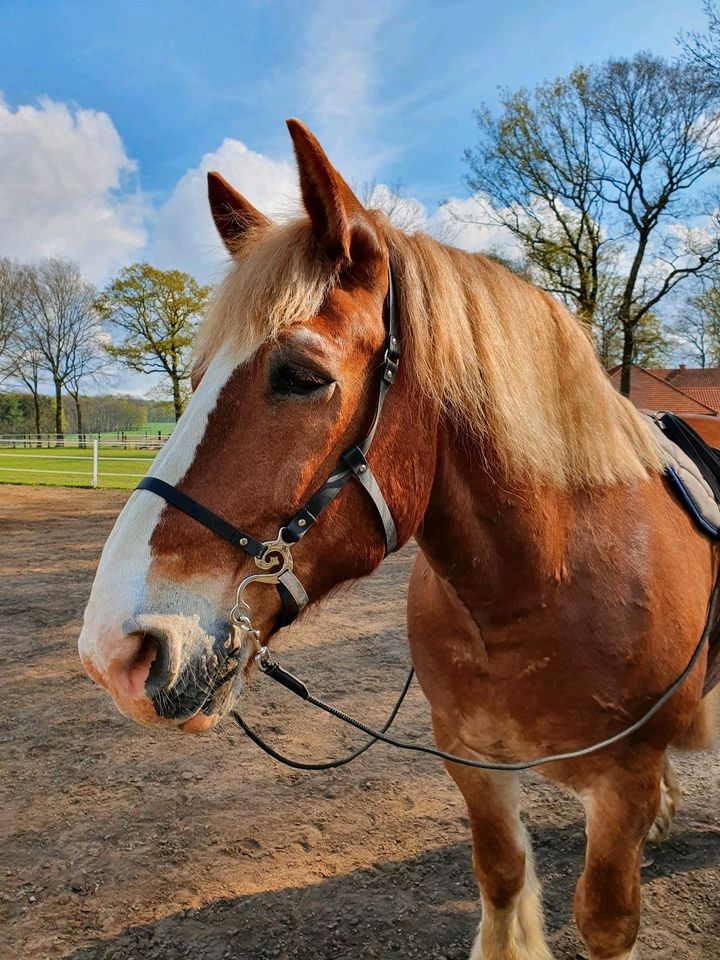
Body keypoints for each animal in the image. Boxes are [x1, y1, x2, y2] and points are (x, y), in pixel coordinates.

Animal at [79, 120, 720, 960]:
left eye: (304, 375)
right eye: (191, 376)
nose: (112, 653)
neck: (540, 590)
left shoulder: (622, 786)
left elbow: (606, 920)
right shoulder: (472, 761)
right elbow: (502, 876)